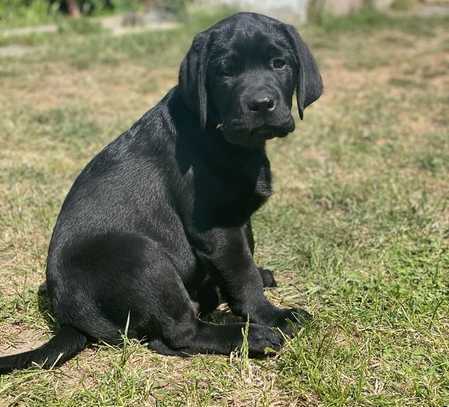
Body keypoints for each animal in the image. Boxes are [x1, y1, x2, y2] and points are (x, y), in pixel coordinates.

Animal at [0, 11, 322, 374]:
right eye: (226, 72)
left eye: (279, 64)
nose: (261, 104)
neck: (223, 136)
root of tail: (68, 316)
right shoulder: (217, 226)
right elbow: (241, 274)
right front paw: (271, 316)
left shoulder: (238, 218)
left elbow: (245, 255)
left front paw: (256, 279)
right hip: (142, 257)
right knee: (179, 333)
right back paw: (252, 337)